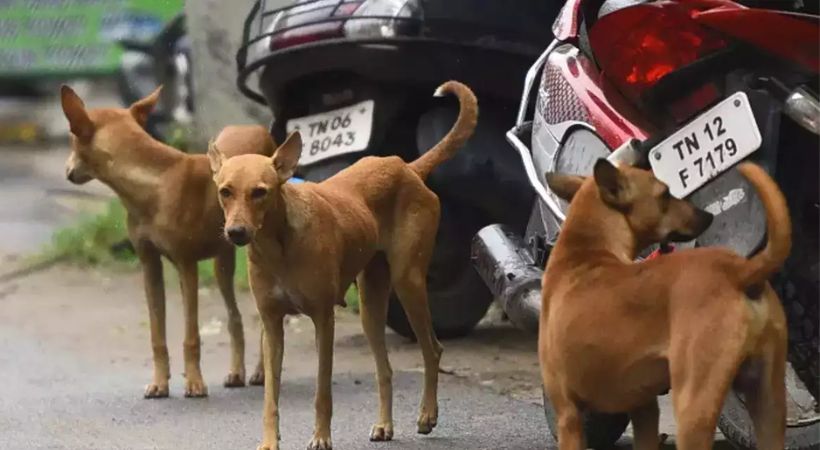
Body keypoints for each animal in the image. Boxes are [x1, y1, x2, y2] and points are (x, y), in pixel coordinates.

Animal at [62, 87, 272, 398]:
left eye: (72, 140)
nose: (66, 171)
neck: (154, 184)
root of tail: (257, 128)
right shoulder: (149, 265)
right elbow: (156, 335)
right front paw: (160, 382)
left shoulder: (187, 265)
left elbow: (191, 335)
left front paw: (195, 382)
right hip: (223, 261)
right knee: (235, 317)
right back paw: (237, 372)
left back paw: (261, 372)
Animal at [207, 81, 480, 450]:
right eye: (225, 191)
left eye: (260, 192)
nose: (235, 232)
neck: (278, 247)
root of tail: (407, 167)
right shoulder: (272, 325)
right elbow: (270, 397)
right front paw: (269, 441)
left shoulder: (324, 319)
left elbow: (322, 390)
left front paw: (321, 437)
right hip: (371, 305)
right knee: (385, 369)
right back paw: (384, 425)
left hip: (408, 282)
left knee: (433, 349)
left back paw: (427, 415)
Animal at [540, 161, 792, 450]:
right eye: (664, 194)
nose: (708, 216)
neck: (584, 251)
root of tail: (739, 270)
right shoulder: (644, 409)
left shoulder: (568, 416)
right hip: (769, 406)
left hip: (693, 406)